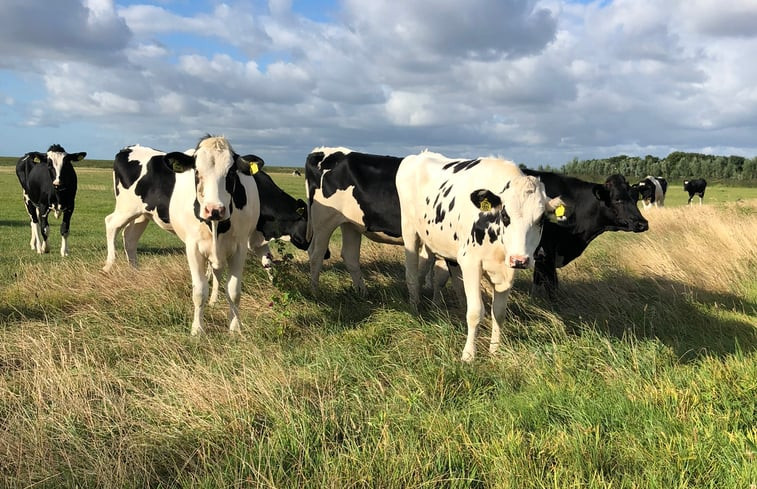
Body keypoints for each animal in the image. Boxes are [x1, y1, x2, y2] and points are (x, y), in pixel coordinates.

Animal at [102, 137, 260, 336]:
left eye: (231, 172)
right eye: (197, 171)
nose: (214, 209)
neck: (217, 226)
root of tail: (129, 147)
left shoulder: (239, 247)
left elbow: (233, 291)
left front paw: (235, 329)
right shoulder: (193, 247)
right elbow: (199, 291)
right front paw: (197, 330)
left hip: (142, 214)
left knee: (130, 237)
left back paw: (134, 273)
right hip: (126, 208)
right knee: (111, 224)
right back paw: (109, 265)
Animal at [396, 152, 568, 362]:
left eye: (541, 219)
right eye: (505, 215)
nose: (520, 260)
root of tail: (420, 154)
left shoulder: (507, 271)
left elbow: (499, 312)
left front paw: (495, 350)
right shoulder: (471, 263)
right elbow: (475, 312)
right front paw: (469, 354)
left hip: (433, 241)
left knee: (428, 274)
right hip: (409, 231)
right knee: (412, 276)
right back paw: (414, 310)